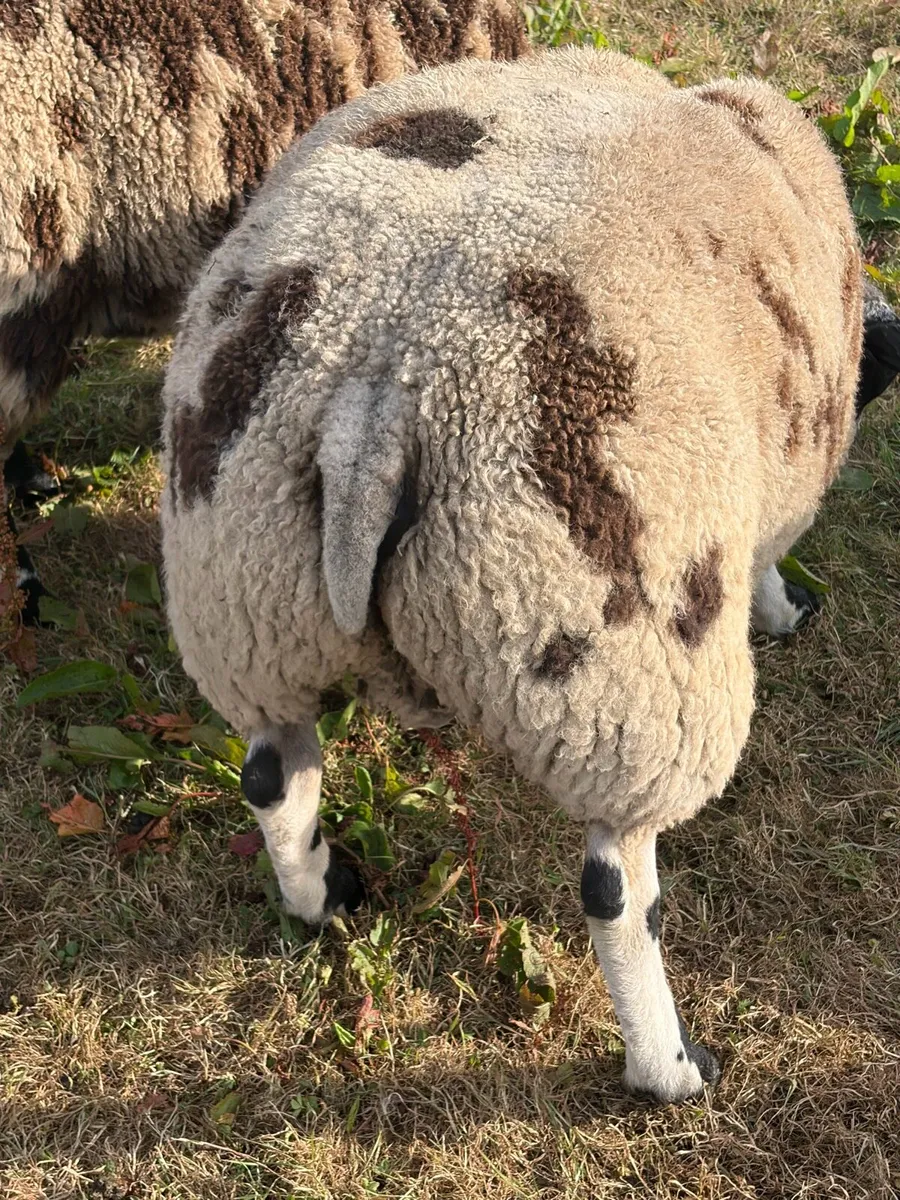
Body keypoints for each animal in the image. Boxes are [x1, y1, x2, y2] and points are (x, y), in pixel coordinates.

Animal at [160, 46, 900, 1104]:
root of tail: (373, 410)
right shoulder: (780, 481)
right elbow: (765, 561)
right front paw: (787, 608)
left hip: (245, 604)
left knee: (273, 774)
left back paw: (323, 894)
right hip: (624, 687)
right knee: (616, 893)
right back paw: (672, 1067)